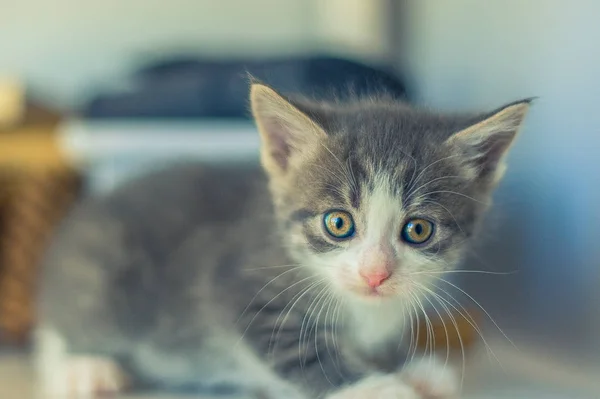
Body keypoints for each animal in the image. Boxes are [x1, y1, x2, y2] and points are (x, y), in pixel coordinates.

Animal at [35, 83, 528, 398]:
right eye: (338, 223)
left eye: (418, 230)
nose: (375, 273)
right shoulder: (239, 288)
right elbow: (300, 352)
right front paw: (379, 387)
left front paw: (410, 366)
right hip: (99, 271)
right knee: (60, 328)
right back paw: (85, 367)